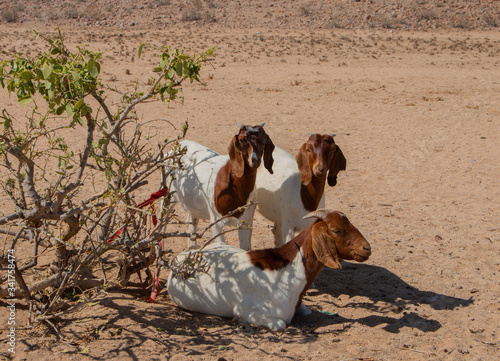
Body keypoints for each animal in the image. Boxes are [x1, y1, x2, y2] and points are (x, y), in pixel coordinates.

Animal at [166, 208, 370, 330]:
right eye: (336, 230)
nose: (366, 248)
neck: (289, 272)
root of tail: (180, 257)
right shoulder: (247, 309)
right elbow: (280, 324)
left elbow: (308, 311)